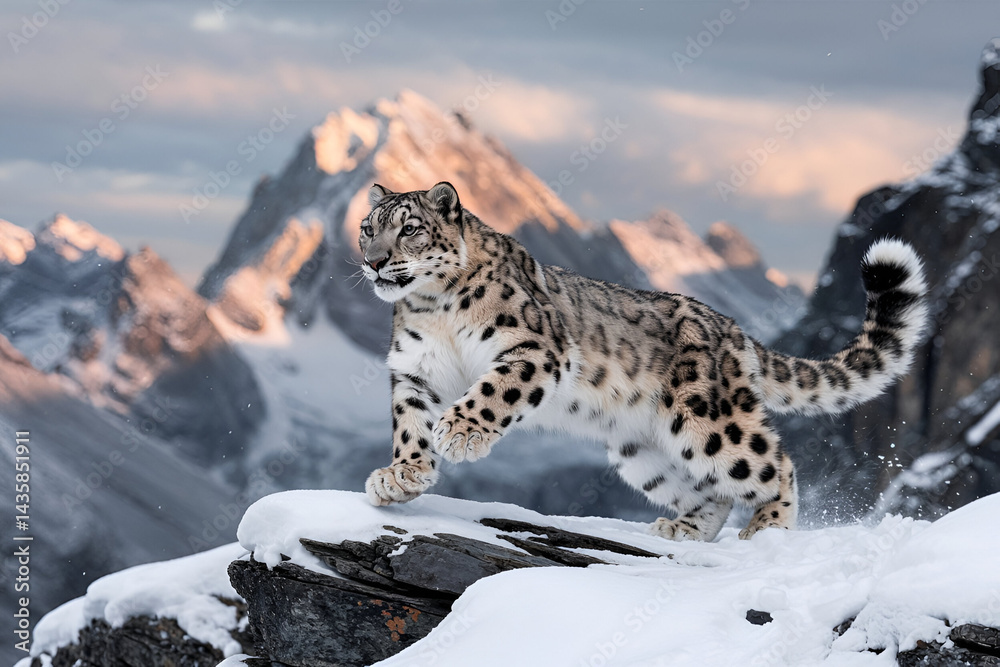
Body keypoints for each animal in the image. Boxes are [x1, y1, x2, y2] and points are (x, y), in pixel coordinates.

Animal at [360, 181, 928, 541]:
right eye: (368, 227)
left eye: (409, 228)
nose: (374, 260)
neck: (433, 306)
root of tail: (733, 329)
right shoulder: (414, 370)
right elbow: (409, 422)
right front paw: (403, 474)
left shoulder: (535, 347)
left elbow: (494, 389)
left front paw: (459, 433)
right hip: (644, 450)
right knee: (710, 490)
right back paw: (683, 529)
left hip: (708, 419)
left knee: (775, 464)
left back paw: (768, 531)